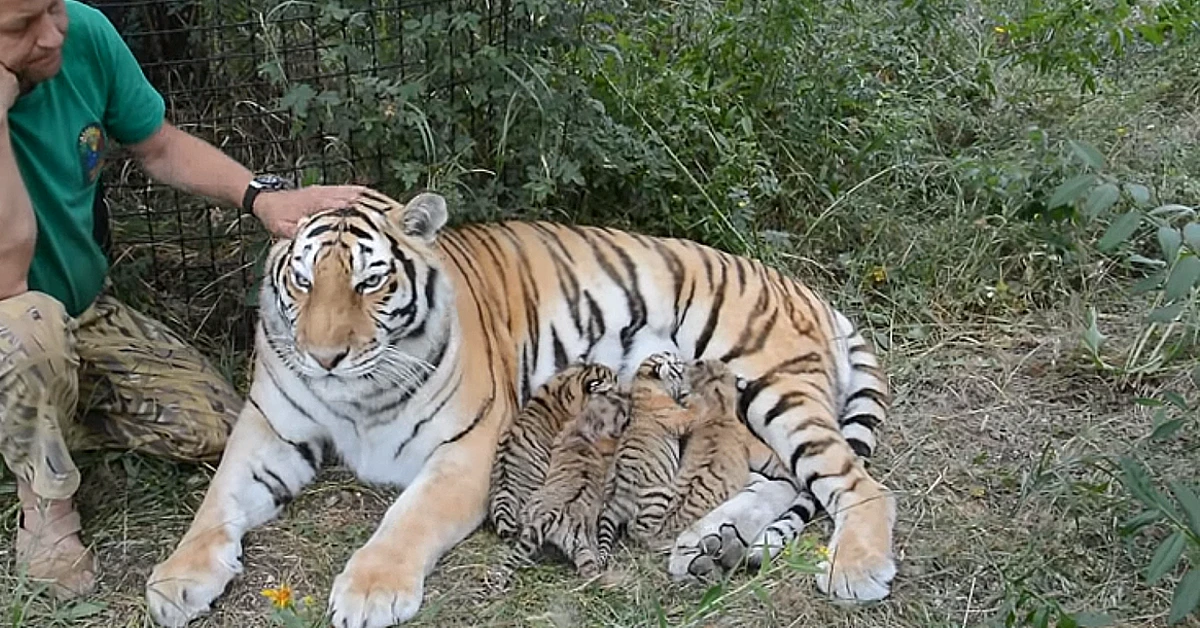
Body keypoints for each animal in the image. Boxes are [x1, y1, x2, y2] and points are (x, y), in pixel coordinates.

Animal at [142, 189, 892, 624]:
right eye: (301, 283)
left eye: (369, 282)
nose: (324, 356)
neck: (352, 391)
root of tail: (806, 289)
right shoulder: (268, 428)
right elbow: (215, 502)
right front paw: (176, 582)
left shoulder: (469, 449)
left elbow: (406, 519)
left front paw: (371, 589)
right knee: (785, 479)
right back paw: (714, 543)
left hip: (773, 386)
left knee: (857, 485)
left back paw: (854, 571)